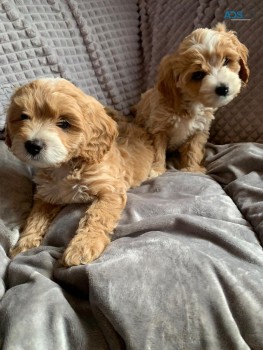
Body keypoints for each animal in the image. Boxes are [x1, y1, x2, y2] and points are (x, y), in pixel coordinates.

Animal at [5, 78, 155, 266]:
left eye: (64, 124)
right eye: (24, 116)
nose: (33, 145)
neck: (65, 166)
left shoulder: (110, 190)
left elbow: (97, 215)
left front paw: (83, 246)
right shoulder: (46, 195)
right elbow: (35, 219)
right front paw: (24, 244)